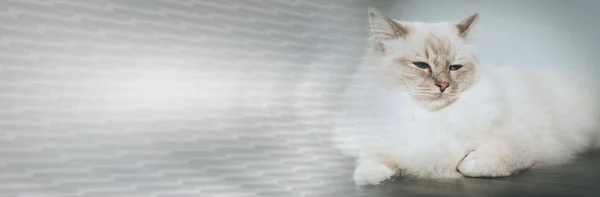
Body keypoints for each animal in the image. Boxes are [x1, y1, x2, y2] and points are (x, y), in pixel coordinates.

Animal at [332, 7, 600, 185]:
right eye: (421, 65)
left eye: (454, 68)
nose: (443, 85)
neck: (431, 118)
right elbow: (373, 159)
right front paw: (368, 177)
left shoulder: (519, 142)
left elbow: (474, 164)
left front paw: (463, 165)